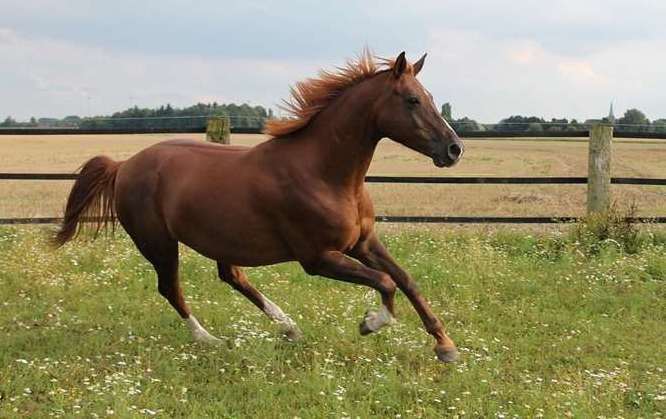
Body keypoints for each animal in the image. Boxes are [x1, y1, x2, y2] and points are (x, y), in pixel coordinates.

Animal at [54, 50, 464, 362]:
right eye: (412, 100)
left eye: (430, 96)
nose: (454, 149)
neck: (324, 174)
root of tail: (124, 166)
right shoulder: (318, 258)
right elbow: (385, 282)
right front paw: (370, 323)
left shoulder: (362, 242)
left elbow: (405, 279)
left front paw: (446, 346)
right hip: (157, 243)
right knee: (171, 288)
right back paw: (211, 340)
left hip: (219, 238)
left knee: (232, 277)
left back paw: (289, 327)